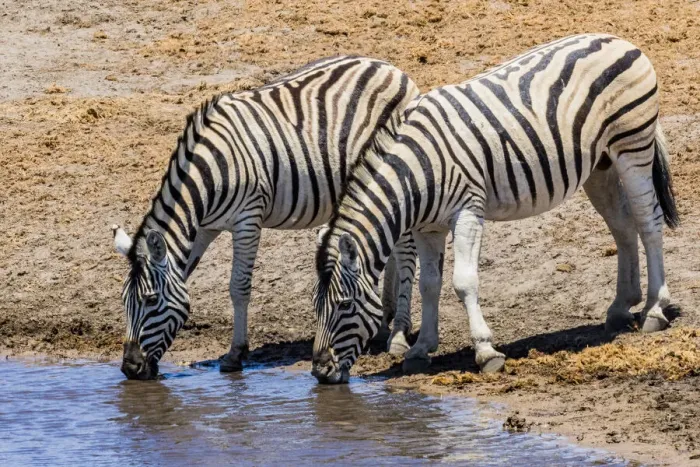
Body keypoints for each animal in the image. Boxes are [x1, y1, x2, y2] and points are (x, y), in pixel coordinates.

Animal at [111, 55, 421, 380]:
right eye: (123, 300)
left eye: (150, 300)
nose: (130, 368)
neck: (209, 173)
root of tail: (392, 69)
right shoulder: (205, 227)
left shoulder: (248, 219)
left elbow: (239, 287)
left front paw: (235, 354)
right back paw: (384, 325)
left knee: (406, 252)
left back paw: (399, 335)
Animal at [312, 34, 679, 384]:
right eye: (314, 305)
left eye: (345, 305)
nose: (320, 373)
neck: (415, 171)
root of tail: (619, 40)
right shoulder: (427, 226)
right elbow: (429, 283)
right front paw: (420, 350)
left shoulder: (467, 211)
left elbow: (463, 281)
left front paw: (486, 351)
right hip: (600, 166)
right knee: (623, 226)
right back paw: (621, 307)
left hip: (633, 146)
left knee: (648, 221)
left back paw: (655, 310)